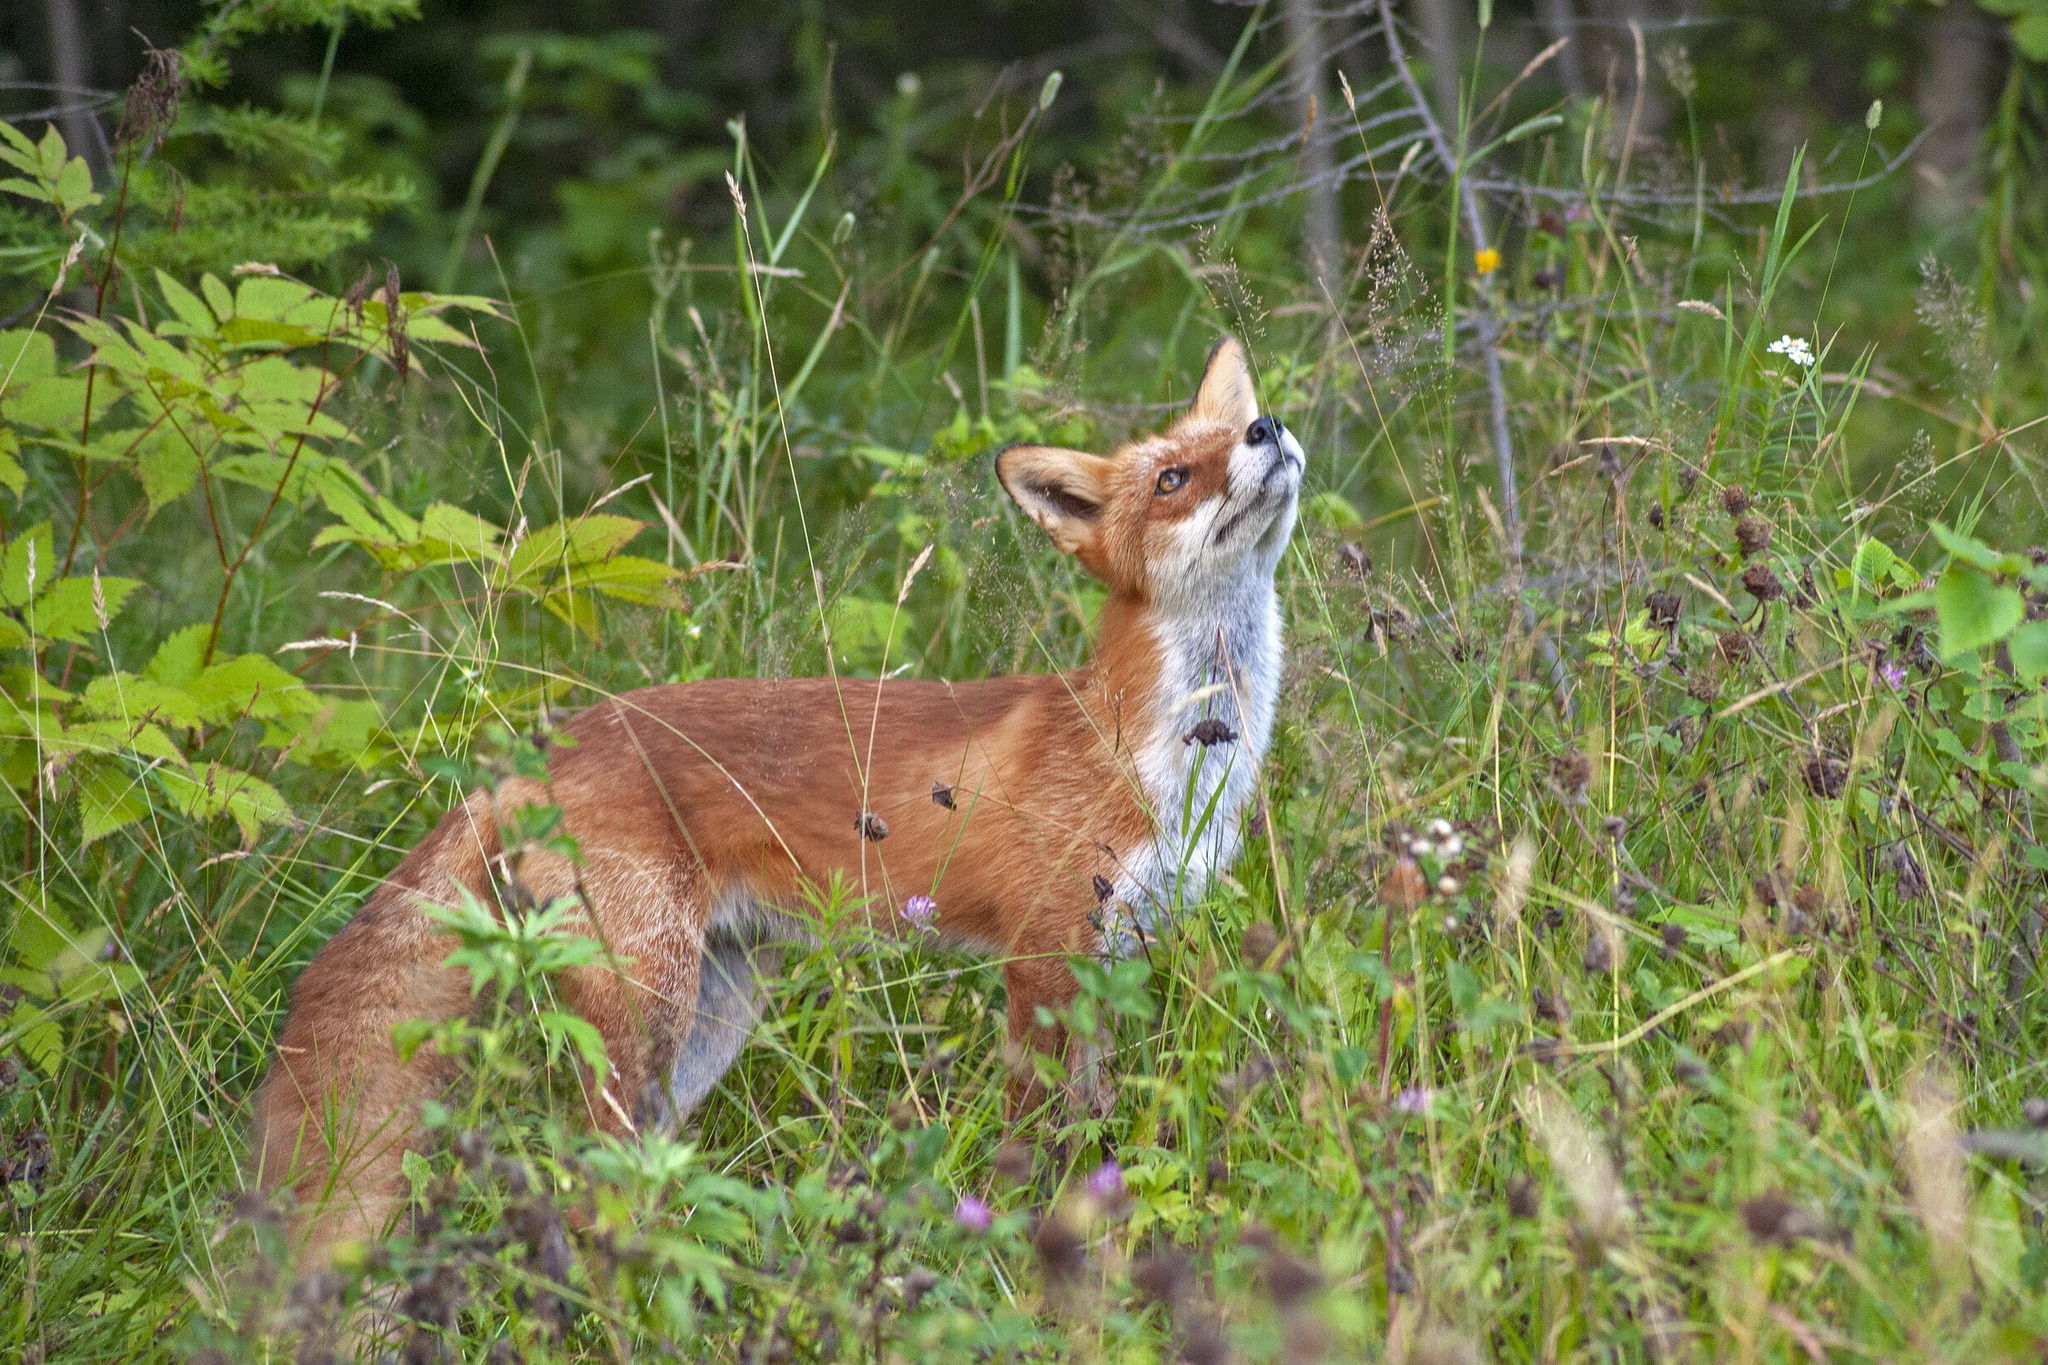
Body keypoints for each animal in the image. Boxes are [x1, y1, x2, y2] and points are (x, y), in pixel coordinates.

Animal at [256, 335, 1302, 1252]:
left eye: (1234, 433)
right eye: (1172, 479)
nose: (1270, 426)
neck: (1165, 758)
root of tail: (539, 743)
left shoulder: (1120, 956)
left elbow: (1097, 1132)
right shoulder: (1043, 956)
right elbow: (1038, 1144)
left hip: (712, 1015)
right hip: (649, 1004)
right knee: (578, 1175)